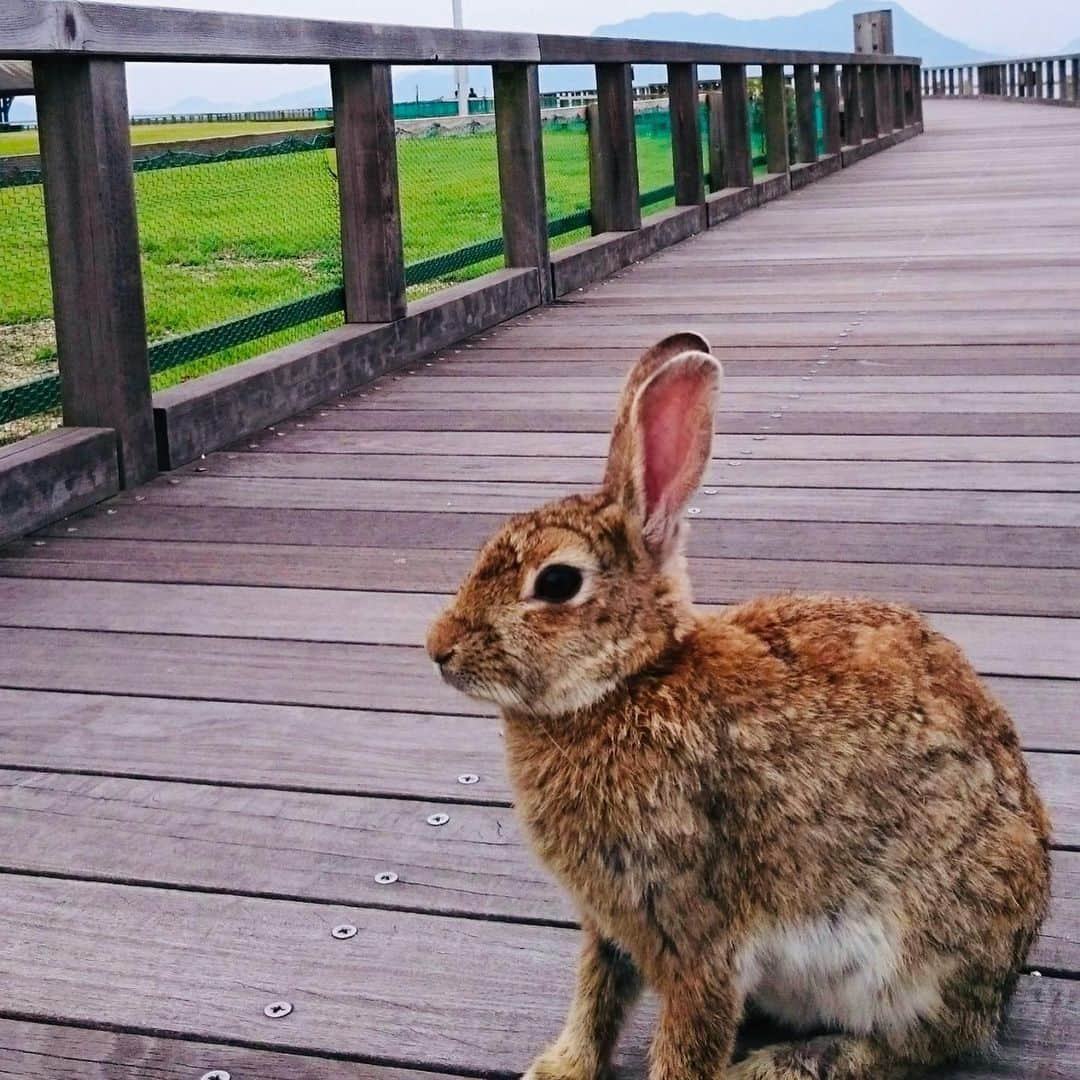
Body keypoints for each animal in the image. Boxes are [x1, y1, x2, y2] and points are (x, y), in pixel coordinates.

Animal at [425, 332, 1049, 1075]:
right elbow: (596, 997)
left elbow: (686, 1038)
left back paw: (779, 1063)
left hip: (920, 954)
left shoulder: (698, 935)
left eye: (556, 583)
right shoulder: (613, 923)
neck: (629, 683)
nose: (438, 648)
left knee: (908, 1046)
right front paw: (560, 1067)